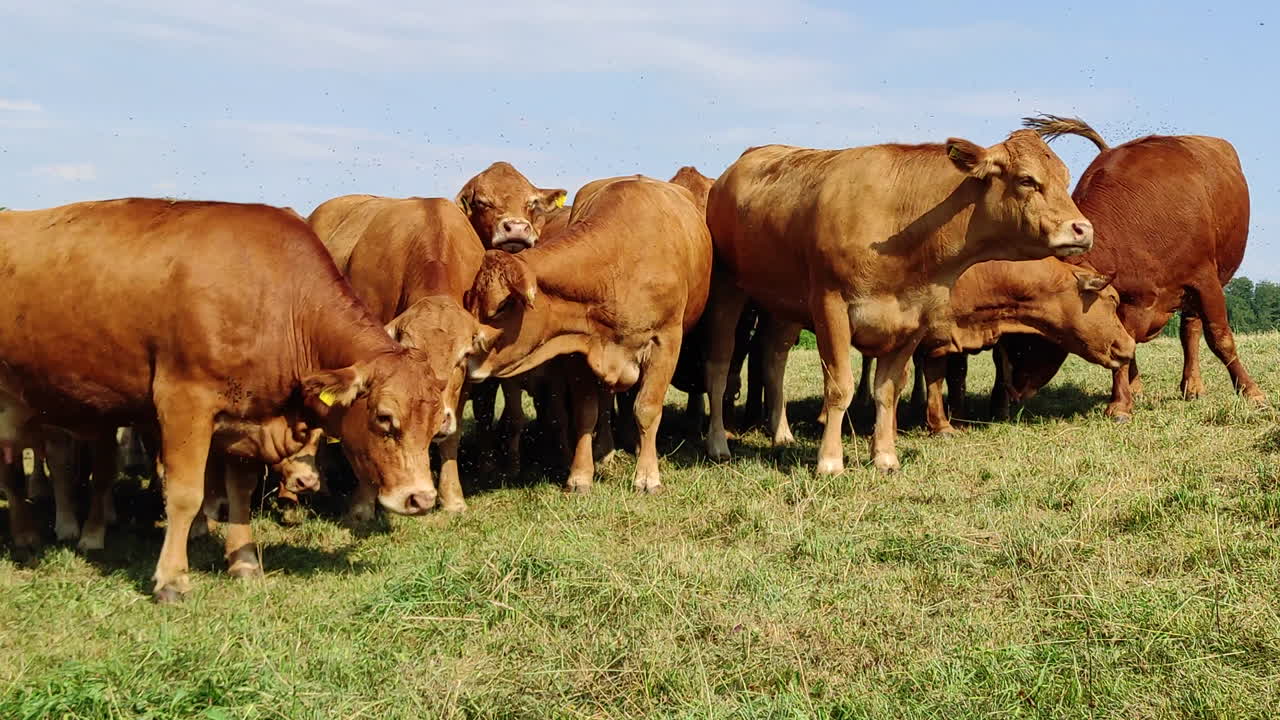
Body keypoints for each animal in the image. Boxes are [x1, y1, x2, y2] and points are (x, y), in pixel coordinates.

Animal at [0, 198, 450, 602]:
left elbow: (240, 491)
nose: (422, 499)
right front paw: (172, 580)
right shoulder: (184, 404)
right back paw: (25, 535)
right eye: (384, 418)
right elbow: (186, 494)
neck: (274, 298)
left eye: (433, 425)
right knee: (15, 472)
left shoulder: (248, 418)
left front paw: (245, 561)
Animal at [465, 175, 713, 493]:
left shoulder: (666, 342)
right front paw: (580, 475)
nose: (463, 353)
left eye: (500, 306)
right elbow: (586, 413)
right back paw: (605, 450)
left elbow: (646, 408)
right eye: (470, 302)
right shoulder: (578, 351)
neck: (619, 262)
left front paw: (647, 476)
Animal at [702, 131, 1095, 474]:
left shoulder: (914, 320)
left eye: (1065, 178)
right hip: (727, 289)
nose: (1083, 229)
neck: (901, 225)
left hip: (784, 306)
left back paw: (781, 434)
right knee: (720, 364)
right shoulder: (830, 306)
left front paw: (885, 457)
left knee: (773, 359)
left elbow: (888, 390)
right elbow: (839, 387)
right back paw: (718, 443)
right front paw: (830, 461)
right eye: (1027, 180)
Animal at [989, 115, 1267, 419]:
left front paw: (1251, 392)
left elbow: (1220, 338)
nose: (1000, 402)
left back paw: (1193, 385)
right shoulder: (1120, 298)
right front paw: (1122, 401)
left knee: (1190, 330)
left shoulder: (1205, 281)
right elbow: (1121, 346)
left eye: (1028, 338)